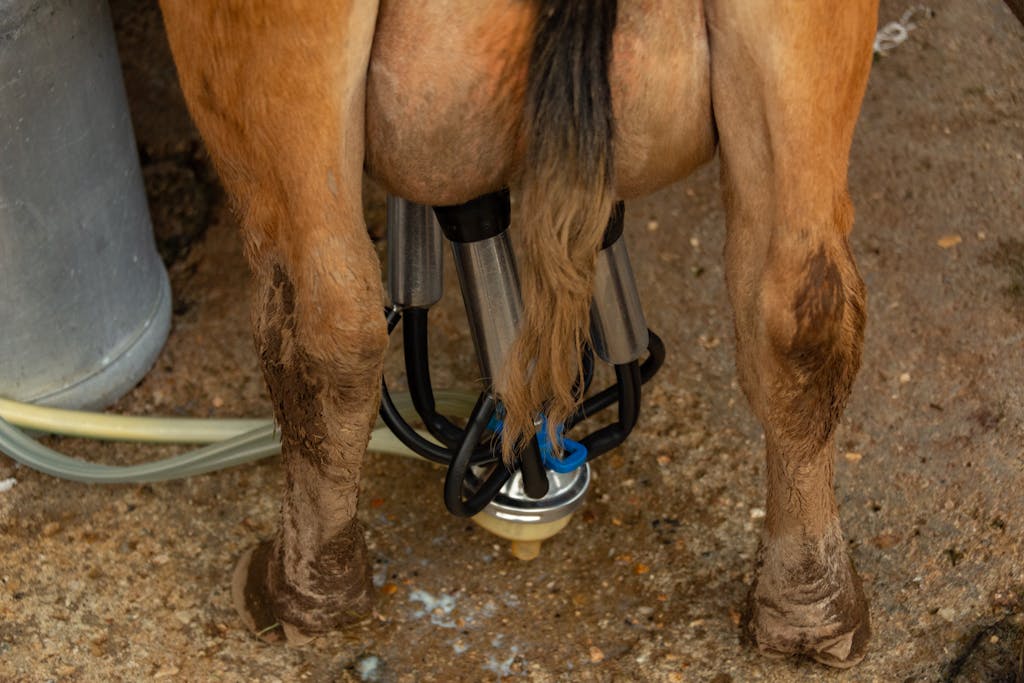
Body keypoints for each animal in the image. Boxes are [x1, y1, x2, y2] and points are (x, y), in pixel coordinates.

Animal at [157, 0, 878, 667]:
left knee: (328, 327)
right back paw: (814, 614)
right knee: (799, 319)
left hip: (268, 68)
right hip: (798, 57)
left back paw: (299, 594)